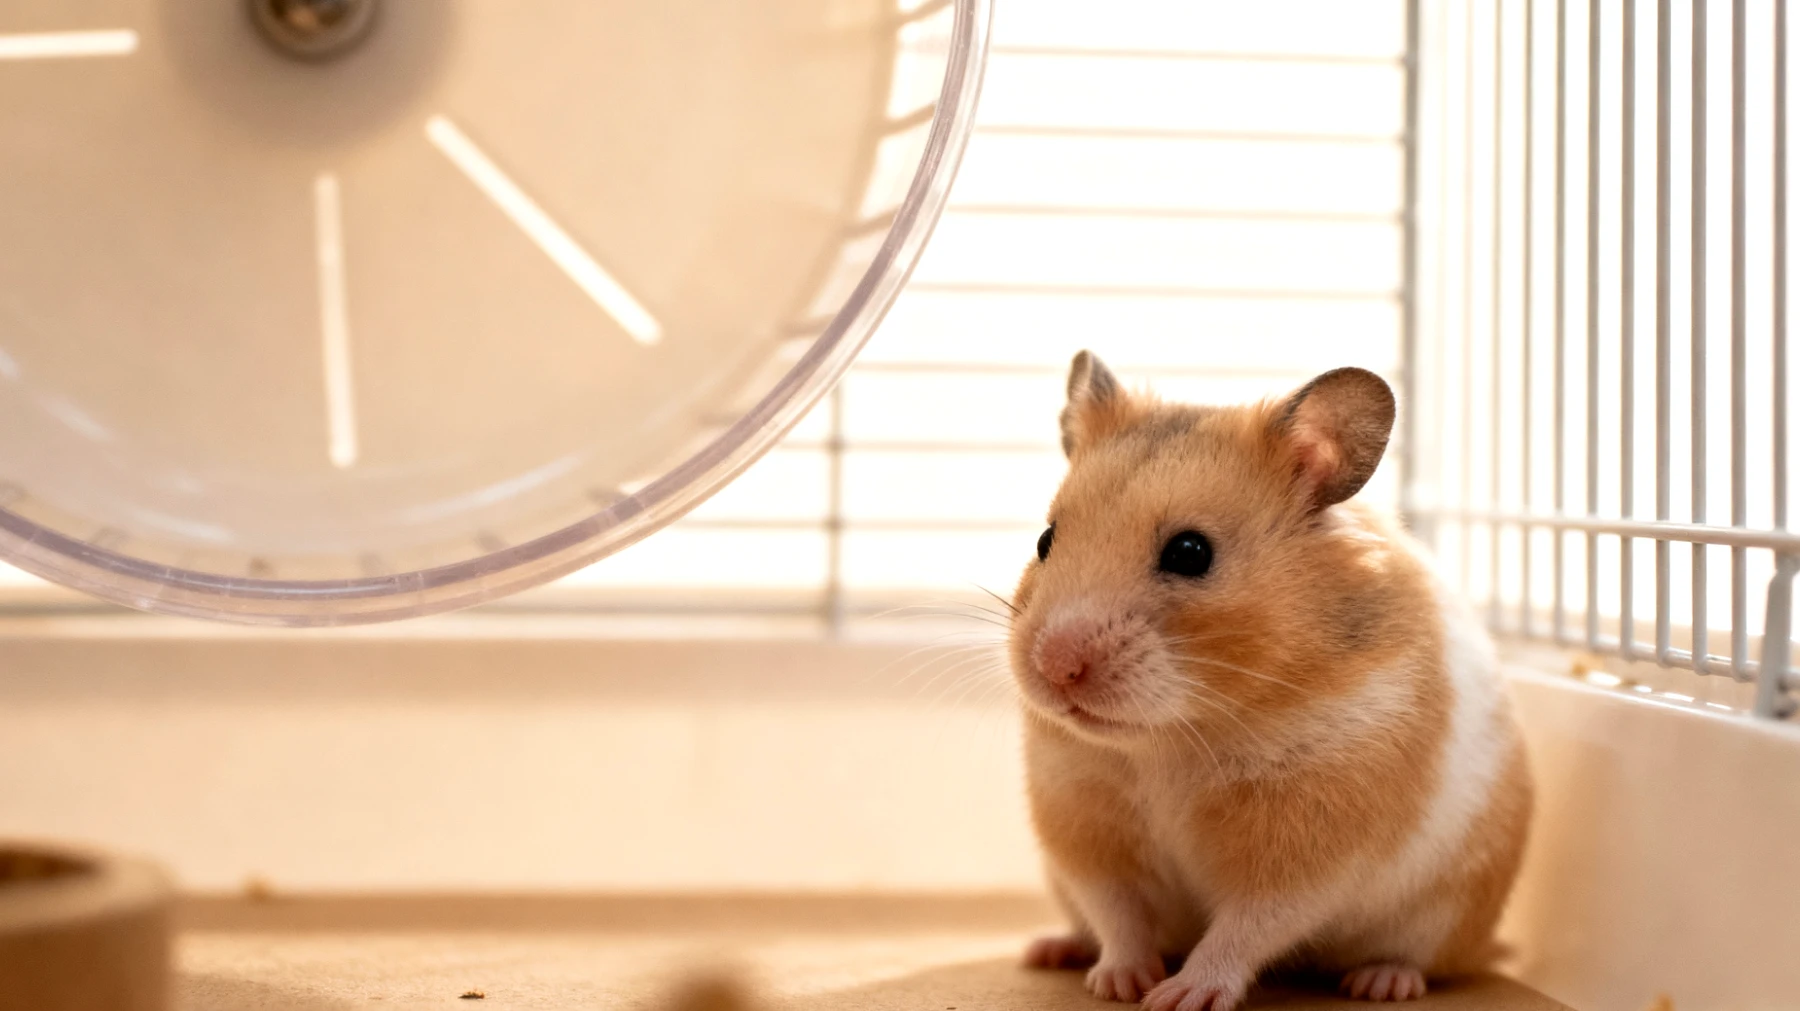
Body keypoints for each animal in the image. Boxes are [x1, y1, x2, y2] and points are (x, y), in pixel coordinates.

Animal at [1009, 352, 1532, 1010]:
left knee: (1419, 960)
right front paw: (1120, 984)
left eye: (1190, 552)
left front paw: (1180, 996)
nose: (1056, 667)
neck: (1171, 740)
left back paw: (1380, 983)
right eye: (1045, 539)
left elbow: (1247, 927)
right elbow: (1119, 914)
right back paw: (1050, 949)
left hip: (1444, 914)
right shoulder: (1086, 824)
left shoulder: (1309, 845)